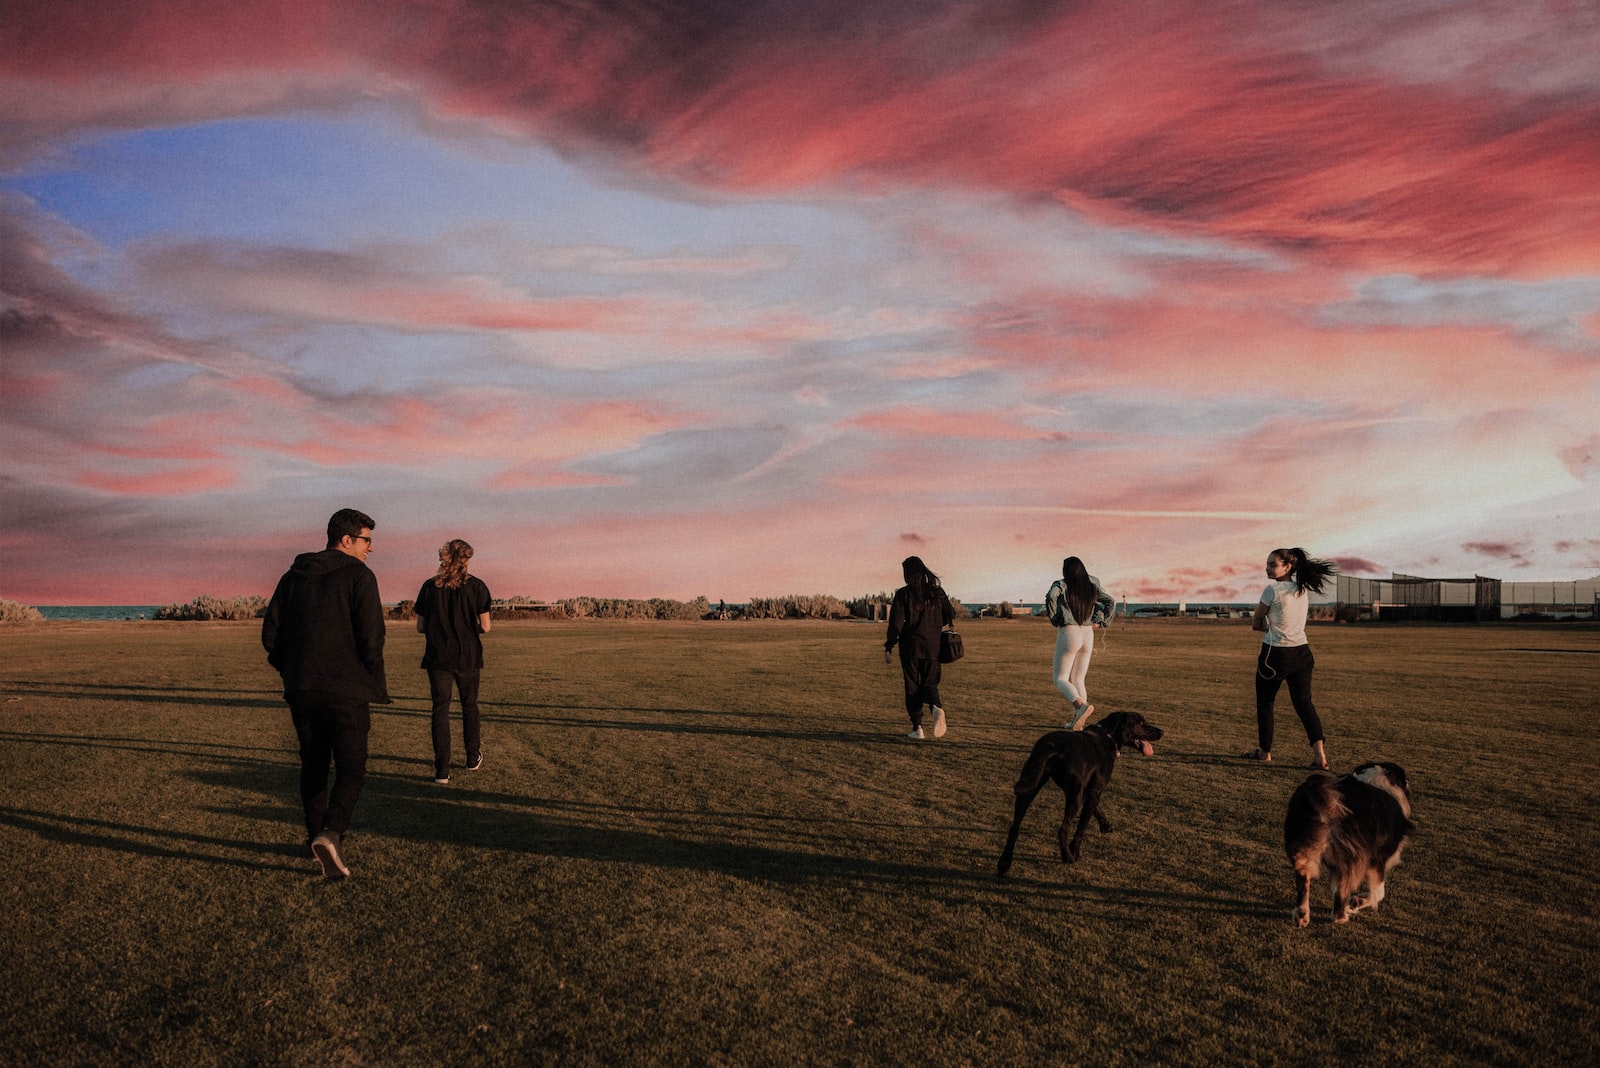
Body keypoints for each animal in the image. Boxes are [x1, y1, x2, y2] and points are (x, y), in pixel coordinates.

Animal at [998, 709, 1164, 876]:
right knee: (1063, 830)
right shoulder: (1094, 791)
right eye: (1140, 723)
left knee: (1014, 827)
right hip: (1073, 798)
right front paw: (1075, 851)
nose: (1162, 731)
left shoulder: (1088, 791)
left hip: (1030, 787)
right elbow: (1082, 826)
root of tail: (1051, 745)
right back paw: (1068, 857)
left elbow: (1097, 809)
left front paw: (1106, 825)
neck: (1107, 735)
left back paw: (1005, 863)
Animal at [1286, 757, 1414, 927]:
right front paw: (1356, 903)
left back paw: (1302, 915)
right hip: (1352, 854)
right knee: (1343, 886)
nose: (1409, 781)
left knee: (1303, 878)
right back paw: (1340, 916)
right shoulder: (1377, 860)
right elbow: (1379, 892)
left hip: (1303, 846)